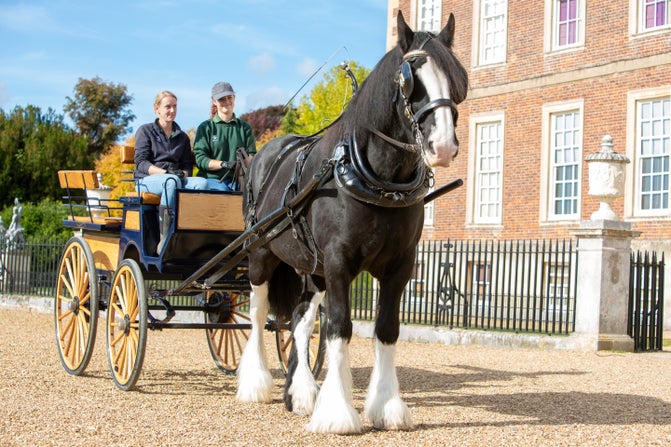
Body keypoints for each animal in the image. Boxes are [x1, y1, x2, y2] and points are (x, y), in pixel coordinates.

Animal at [236, 11, 468, 434]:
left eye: (457, 79)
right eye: (410, 77)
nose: (443, 145)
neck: (376, 178)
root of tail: (264, 153)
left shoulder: (400, 266)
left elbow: (385, 329)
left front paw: (386, 406)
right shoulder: (339, 260)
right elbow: (339, 328)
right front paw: (338, 412)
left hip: (312, 267)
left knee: (299, 321)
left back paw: (300, 392)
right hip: (260, 254)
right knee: (259, 313)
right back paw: (255, 384)